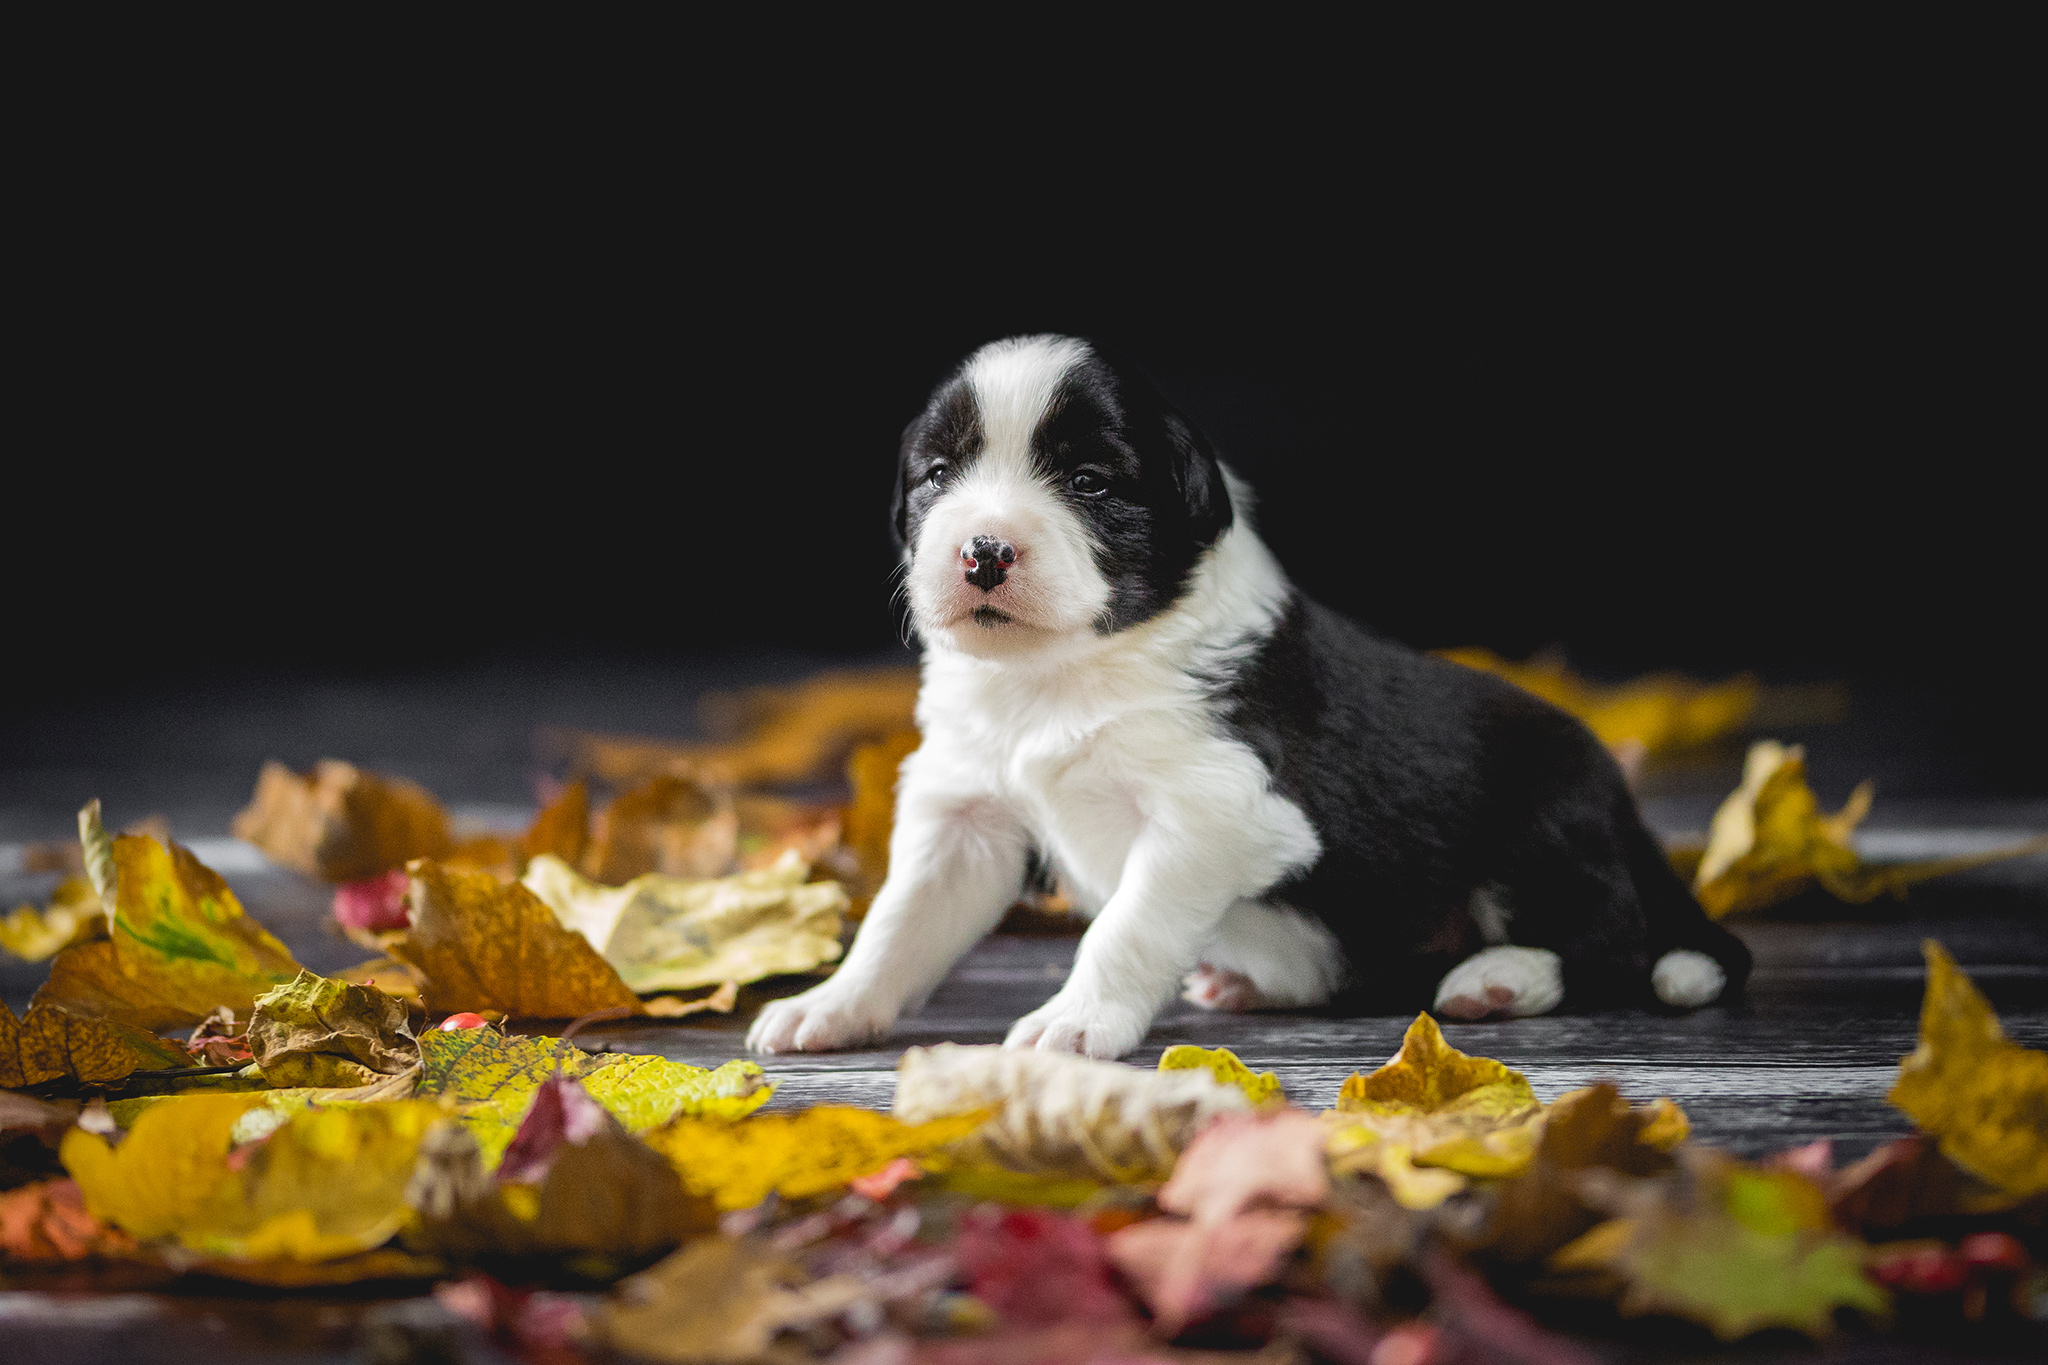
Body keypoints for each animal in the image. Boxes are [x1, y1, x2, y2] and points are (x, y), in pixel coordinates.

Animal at [745, 335, 1753, 1064]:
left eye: (1089, 482)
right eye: (937, 476)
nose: (982, 551)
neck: (1058, 671)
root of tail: (1625, 812)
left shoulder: (1215, 810)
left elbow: (1126, 927)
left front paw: (1077, 1021)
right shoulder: (964, 812)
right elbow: (898, 921)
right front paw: (828, 1005)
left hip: (1540, 826)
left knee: (1611, 943)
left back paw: (1499, 977)